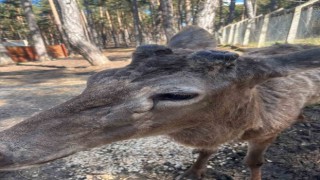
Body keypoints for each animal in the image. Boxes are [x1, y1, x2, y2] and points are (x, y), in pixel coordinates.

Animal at [0, 25, 318, 180]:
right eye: (96, 78)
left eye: (178, 95)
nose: (4, 148)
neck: (252, 116)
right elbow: (206, 150)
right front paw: (193, 172)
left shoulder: (271, 128)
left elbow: (254, 162)